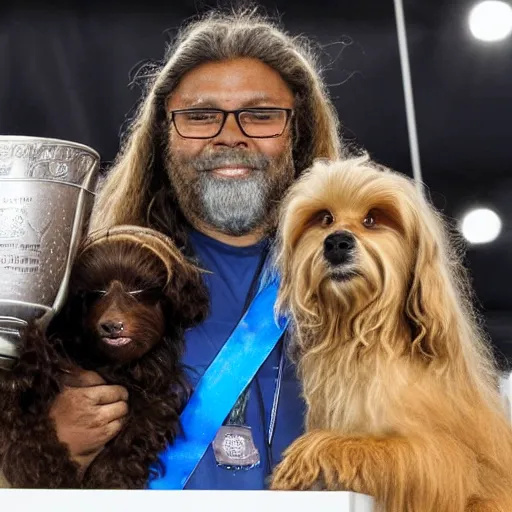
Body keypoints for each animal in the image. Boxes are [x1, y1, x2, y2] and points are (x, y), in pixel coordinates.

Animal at [0, 225, 209, 488]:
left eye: (139, 290)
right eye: (96, 294)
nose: (111, 326)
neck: (112, 365)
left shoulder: (152, 400)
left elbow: (135, 436)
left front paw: (110, 477)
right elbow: (25, 416)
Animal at [270, 156, 510, 512]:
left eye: (371, 219)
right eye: (325, 218)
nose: (337, 242)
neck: (364, 339)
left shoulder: (447, 463)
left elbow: (371, 444)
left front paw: (311, 451)